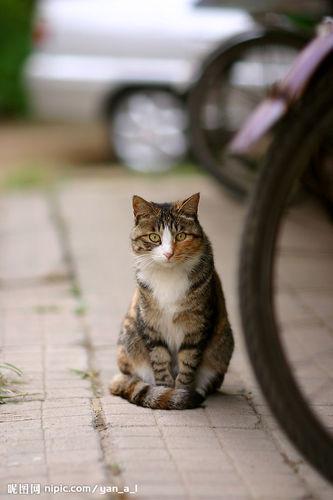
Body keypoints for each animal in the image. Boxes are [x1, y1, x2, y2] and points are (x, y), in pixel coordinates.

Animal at [109, 193, 233, 408]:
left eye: (181, 236)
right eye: (154, 237)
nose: (168, 253)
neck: (168, 276)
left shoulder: (197, 325)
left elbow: (188, 361)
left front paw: (182, 391)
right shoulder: (151, 324)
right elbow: (159, 359)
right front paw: (166, 391)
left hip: (222, 347)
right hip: (129, 339)